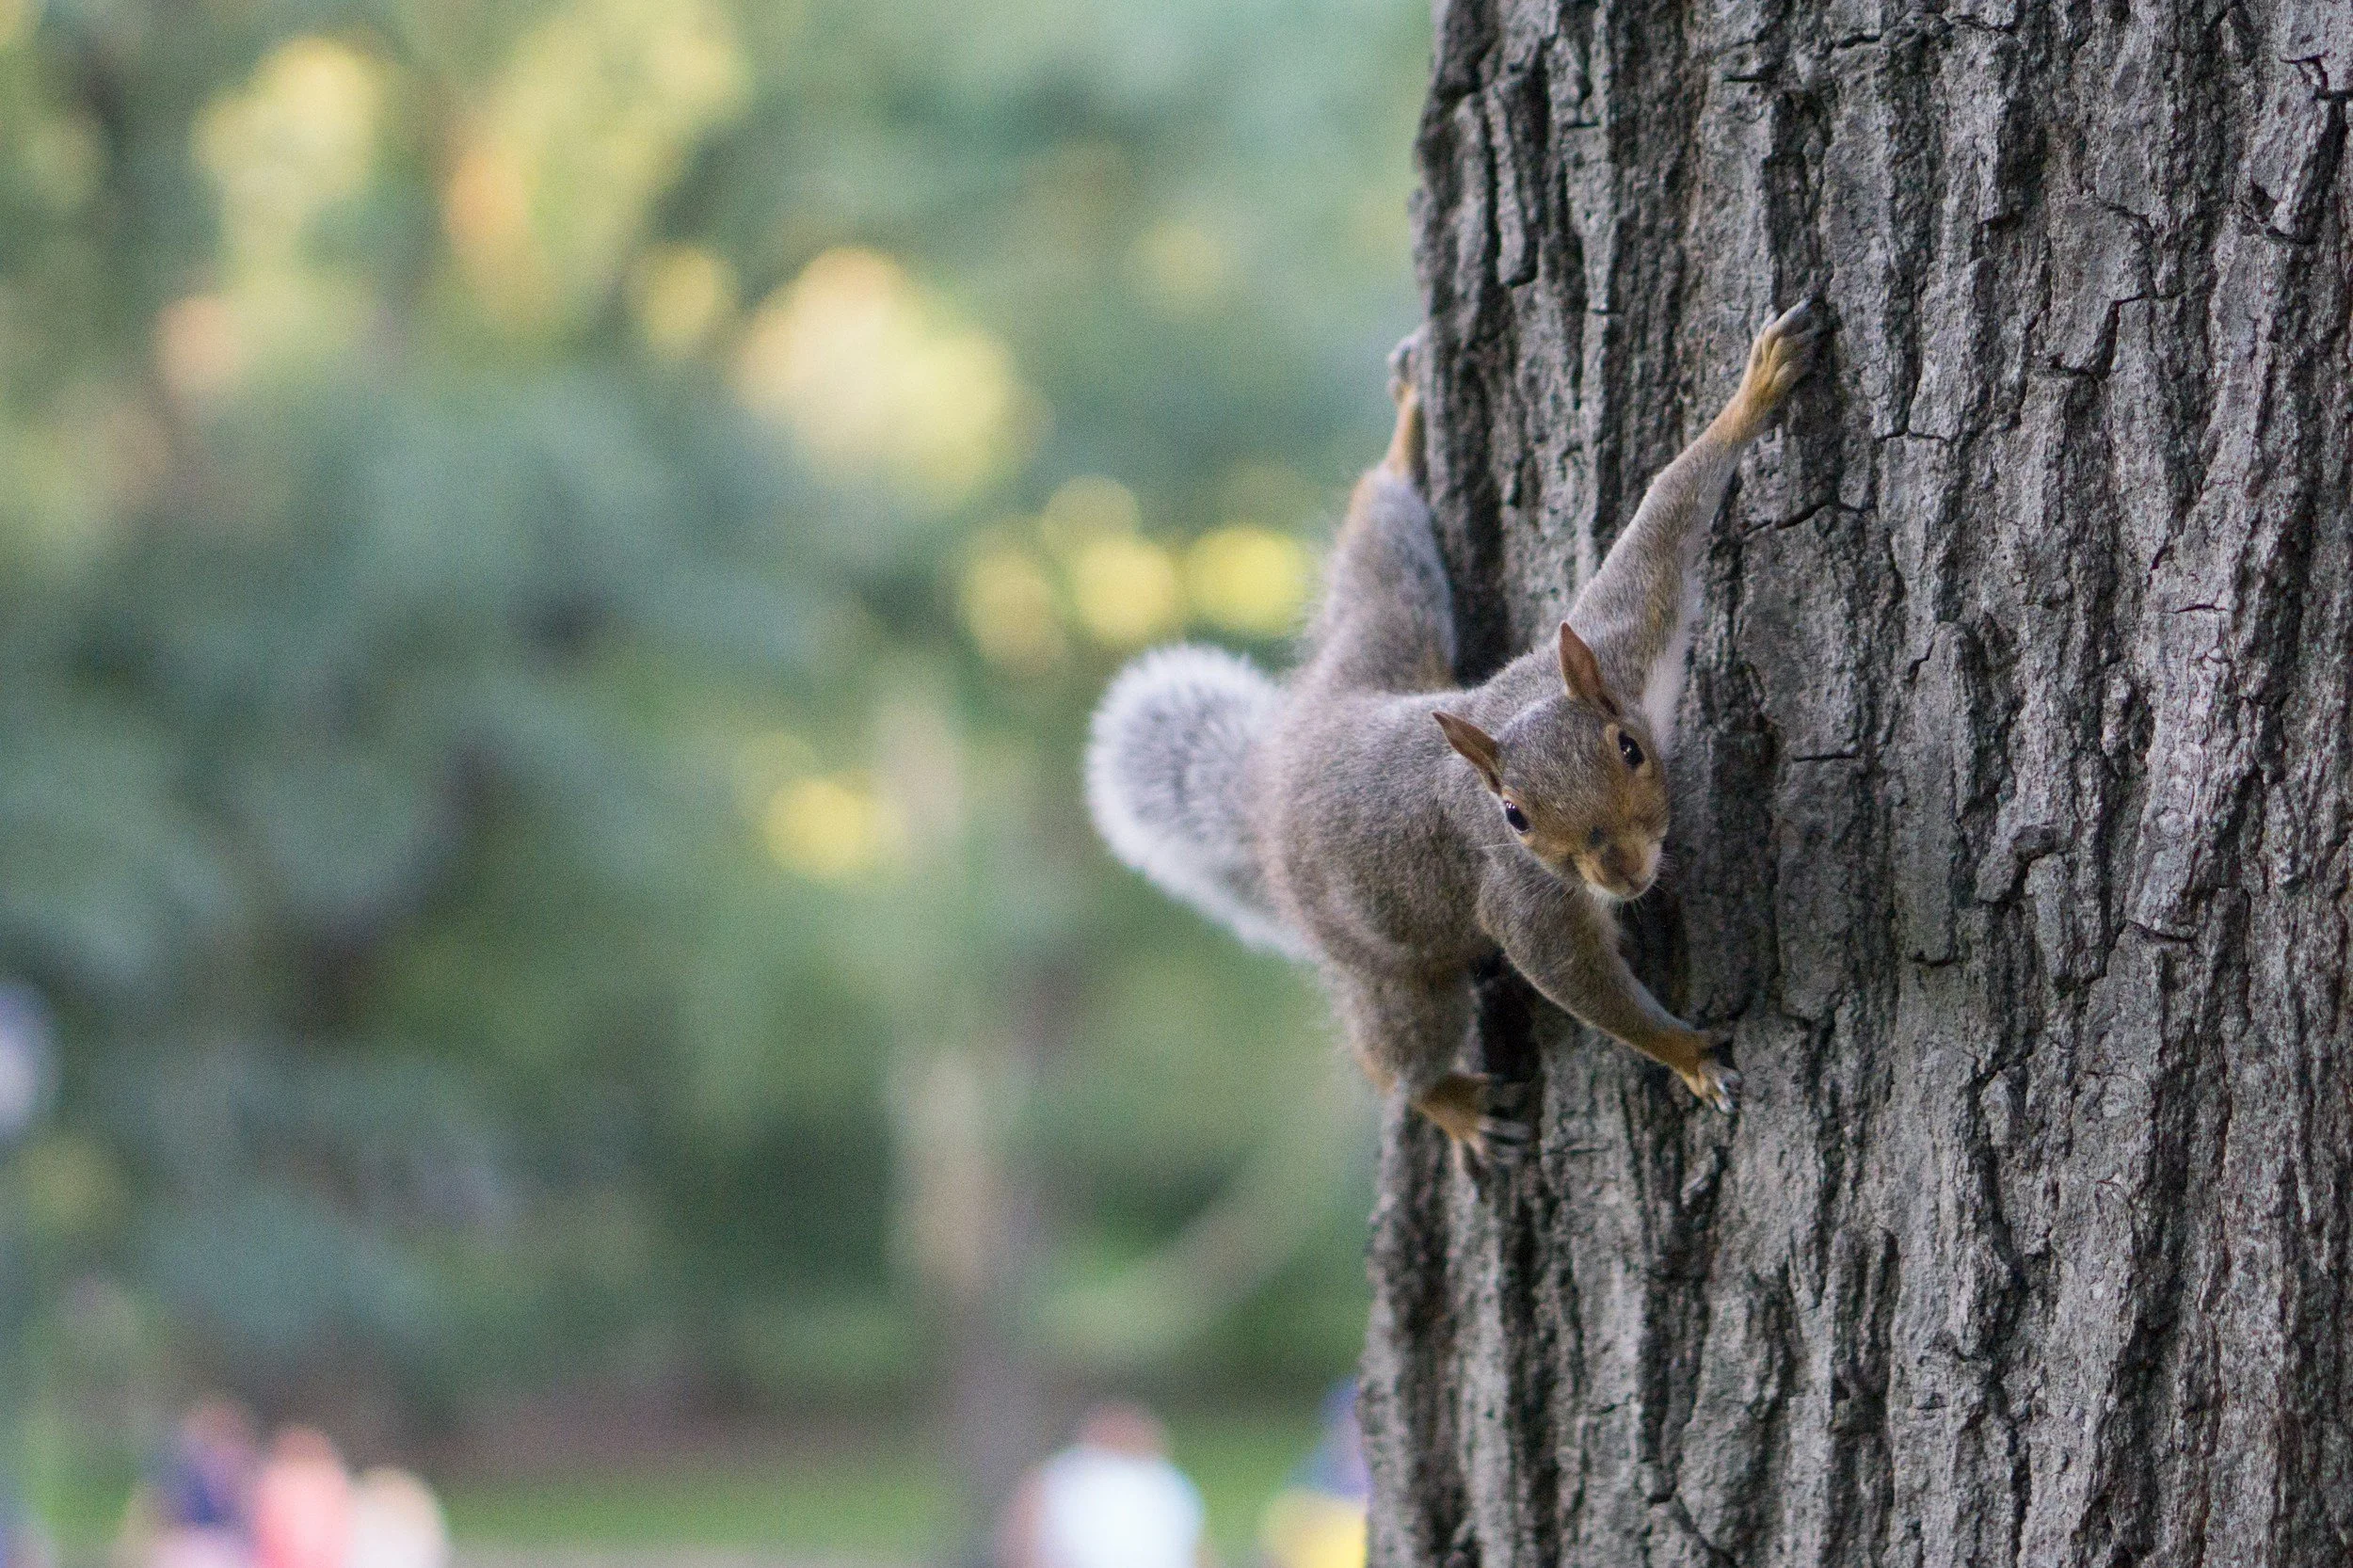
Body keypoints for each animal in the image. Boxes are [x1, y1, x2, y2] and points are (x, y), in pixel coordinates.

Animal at [1088, 302, 1824, 1158]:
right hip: (1386, 967)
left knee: (1378, 545)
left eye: (1630, 749)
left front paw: (1756, 390)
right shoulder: (1525, 899)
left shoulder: (1622, 638)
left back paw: (1404, 439)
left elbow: (1668, 512)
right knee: (1393, 1055)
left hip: (1385, 631)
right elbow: (1582, 988)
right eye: (1514, 817)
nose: (1620, 873)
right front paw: (1689, 1057)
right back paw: (1453, 1106)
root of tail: (1275, 774)